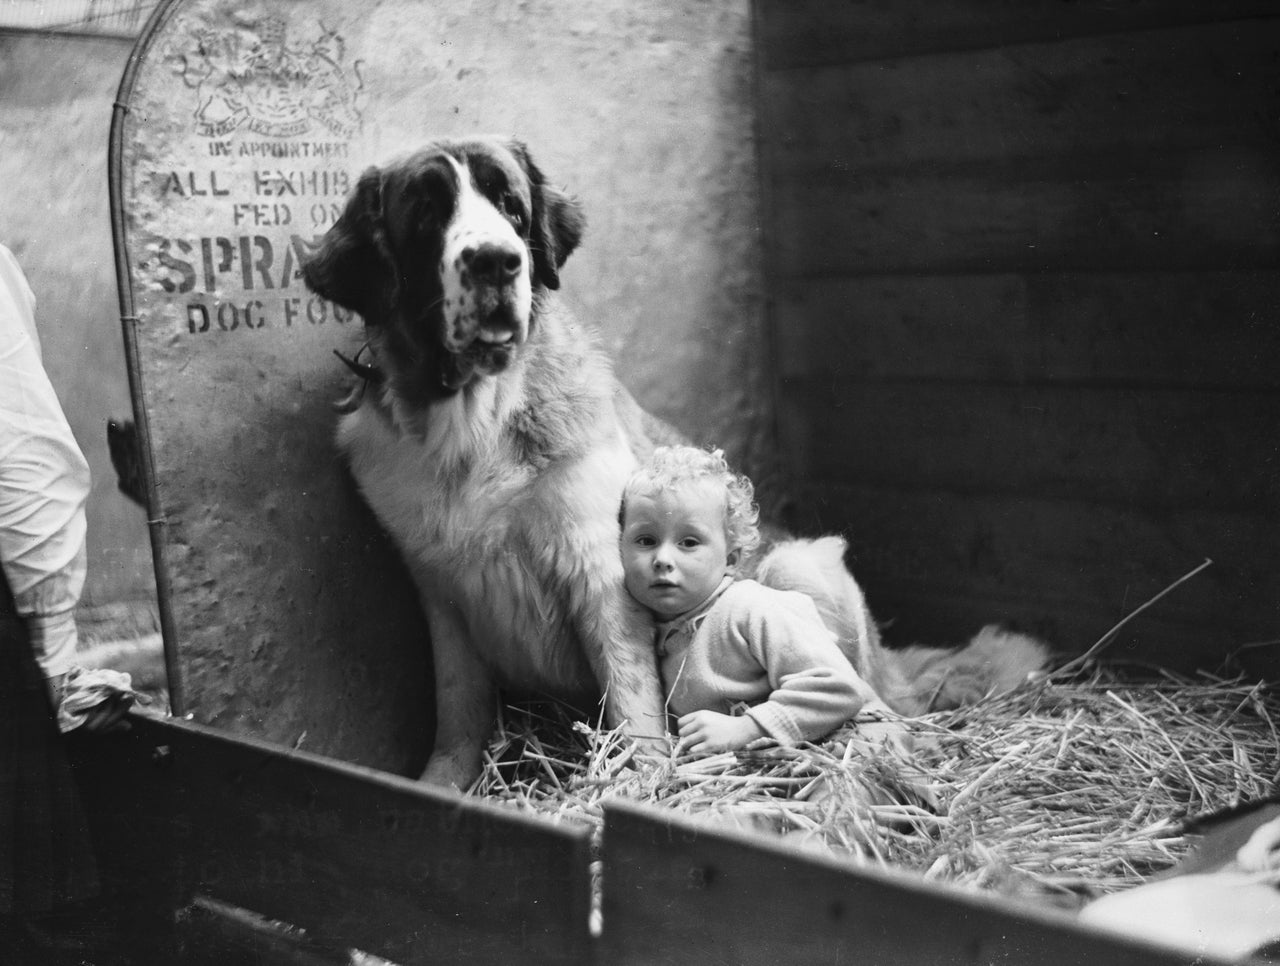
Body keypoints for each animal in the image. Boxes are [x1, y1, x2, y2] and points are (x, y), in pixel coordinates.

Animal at [302, 138, 1049, 793]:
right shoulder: (441, 590)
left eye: (511, 205)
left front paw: (646, 789)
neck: (474, 423)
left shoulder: (597, 572)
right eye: (427, 212)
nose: (495, 261)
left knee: (870, 699)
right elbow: (458, 710)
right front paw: (440, 787)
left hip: (797, 565)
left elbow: (632, 697)